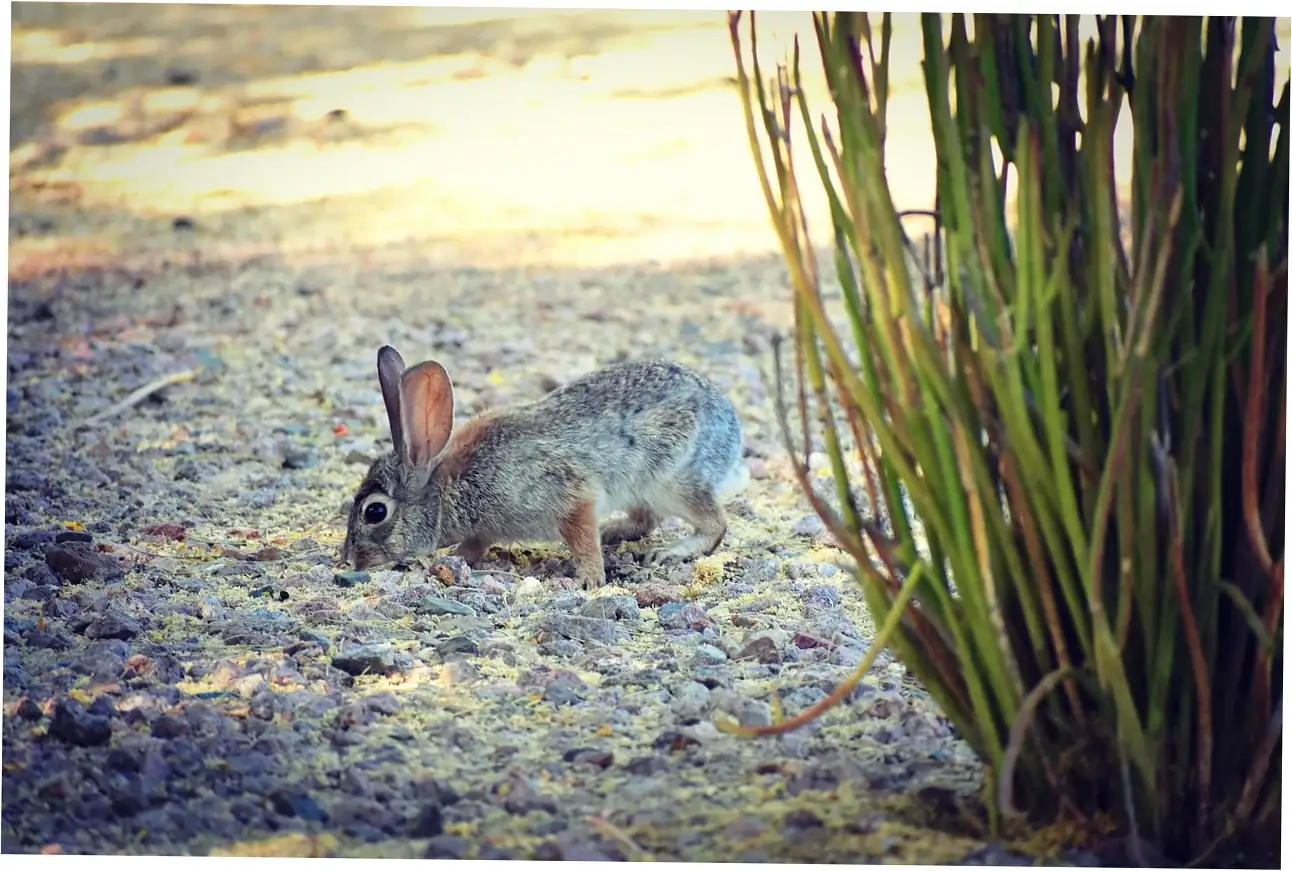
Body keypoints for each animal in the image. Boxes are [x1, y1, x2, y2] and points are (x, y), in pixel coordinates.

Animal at [340, 345, 749, 589]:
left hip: (673, 480)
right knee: (646, 521)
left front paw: (589, 582)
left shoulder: (569, 497)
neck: (449, 488)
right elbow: (473, 546)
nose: (349, 559)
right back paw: (613, 530)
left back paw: (675, 551)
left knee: (713, 523)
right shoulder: (484, 529)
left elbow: (583, 541)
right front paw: (448, 560)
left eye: (375, 512)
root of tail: (731, 426)